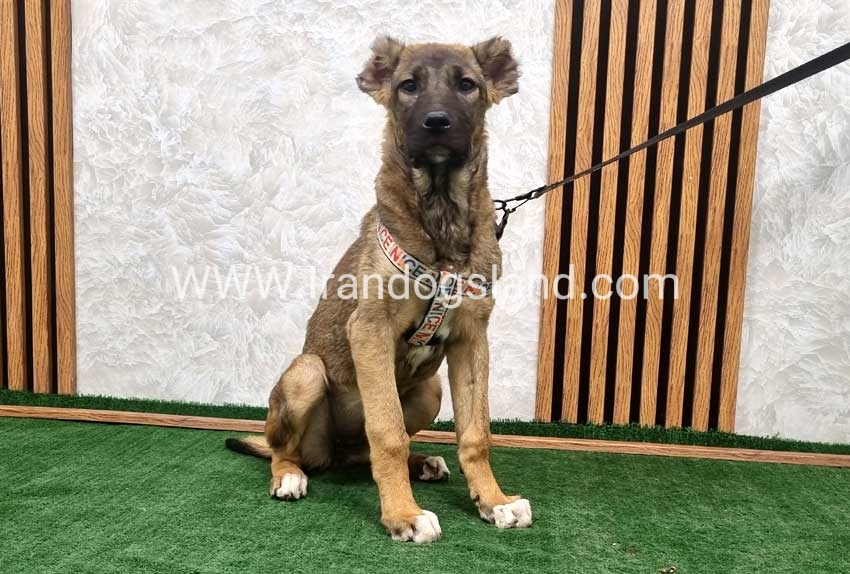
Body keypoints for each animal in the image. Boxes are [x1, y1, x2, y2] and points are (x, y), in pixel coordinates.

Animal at [226, 36, 531, 543]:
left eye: (467, 85)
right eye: (408, 86)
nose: (436, 122)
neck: (441, 217)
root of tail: (330, 453)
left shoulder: (472, 339)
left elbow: (475, 432)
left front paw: (494, 500)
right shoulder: (370, 331)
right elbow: (386, 432)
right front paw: (403, 514)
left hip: (429, 390)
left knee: (369, 451)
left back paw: (421, 463)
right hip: (307, 372)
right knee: (291, 449)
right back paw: (290, 476)